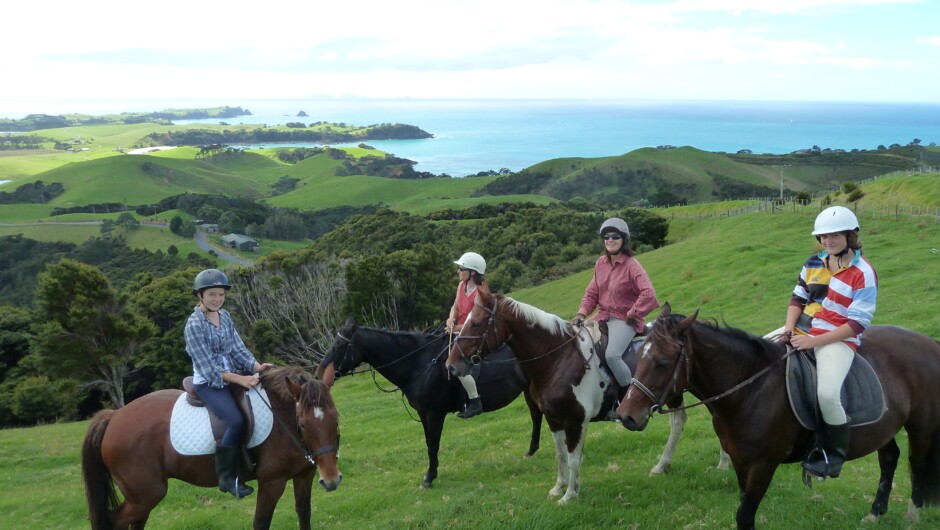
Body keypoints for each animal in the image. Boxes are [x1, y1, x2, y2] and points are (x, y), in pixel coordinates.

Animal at [82, 366, 342, 528]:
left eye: (336, 418)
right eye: (302, 424)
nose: (332, 480)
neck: (281, 418)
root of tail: (113, 417)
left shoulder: (305, 474)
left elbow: (304, 514)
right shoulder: (272, 483)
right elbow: (261, 522)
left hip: (142, 500)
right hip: (144, 496)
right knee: (114, 522)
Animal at [444, 284, 688, 504]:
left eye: (475, 324)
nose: (452, 365)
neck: (558, 358)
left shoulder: (575, 420)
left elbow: (573, 458)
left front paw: (570, 495)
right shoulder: (554, 418)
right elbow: (561, 454)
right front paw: (559, 487)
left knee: (677, 423)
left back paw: (661, 464)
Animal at [620, 302, 940, 528]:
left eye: (662, 362)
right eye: (640, 355)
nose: (626, 416)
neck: (750, 391)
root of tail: (929, 342)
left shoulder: (763, 466)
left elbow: (744, 515)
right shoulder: (740, 462)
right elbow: (743, 509)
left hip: (921, 428)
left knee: (917, 464)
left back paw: (912, 515)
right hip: (882, 427)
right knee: (889, 459)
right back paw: (876, 512)